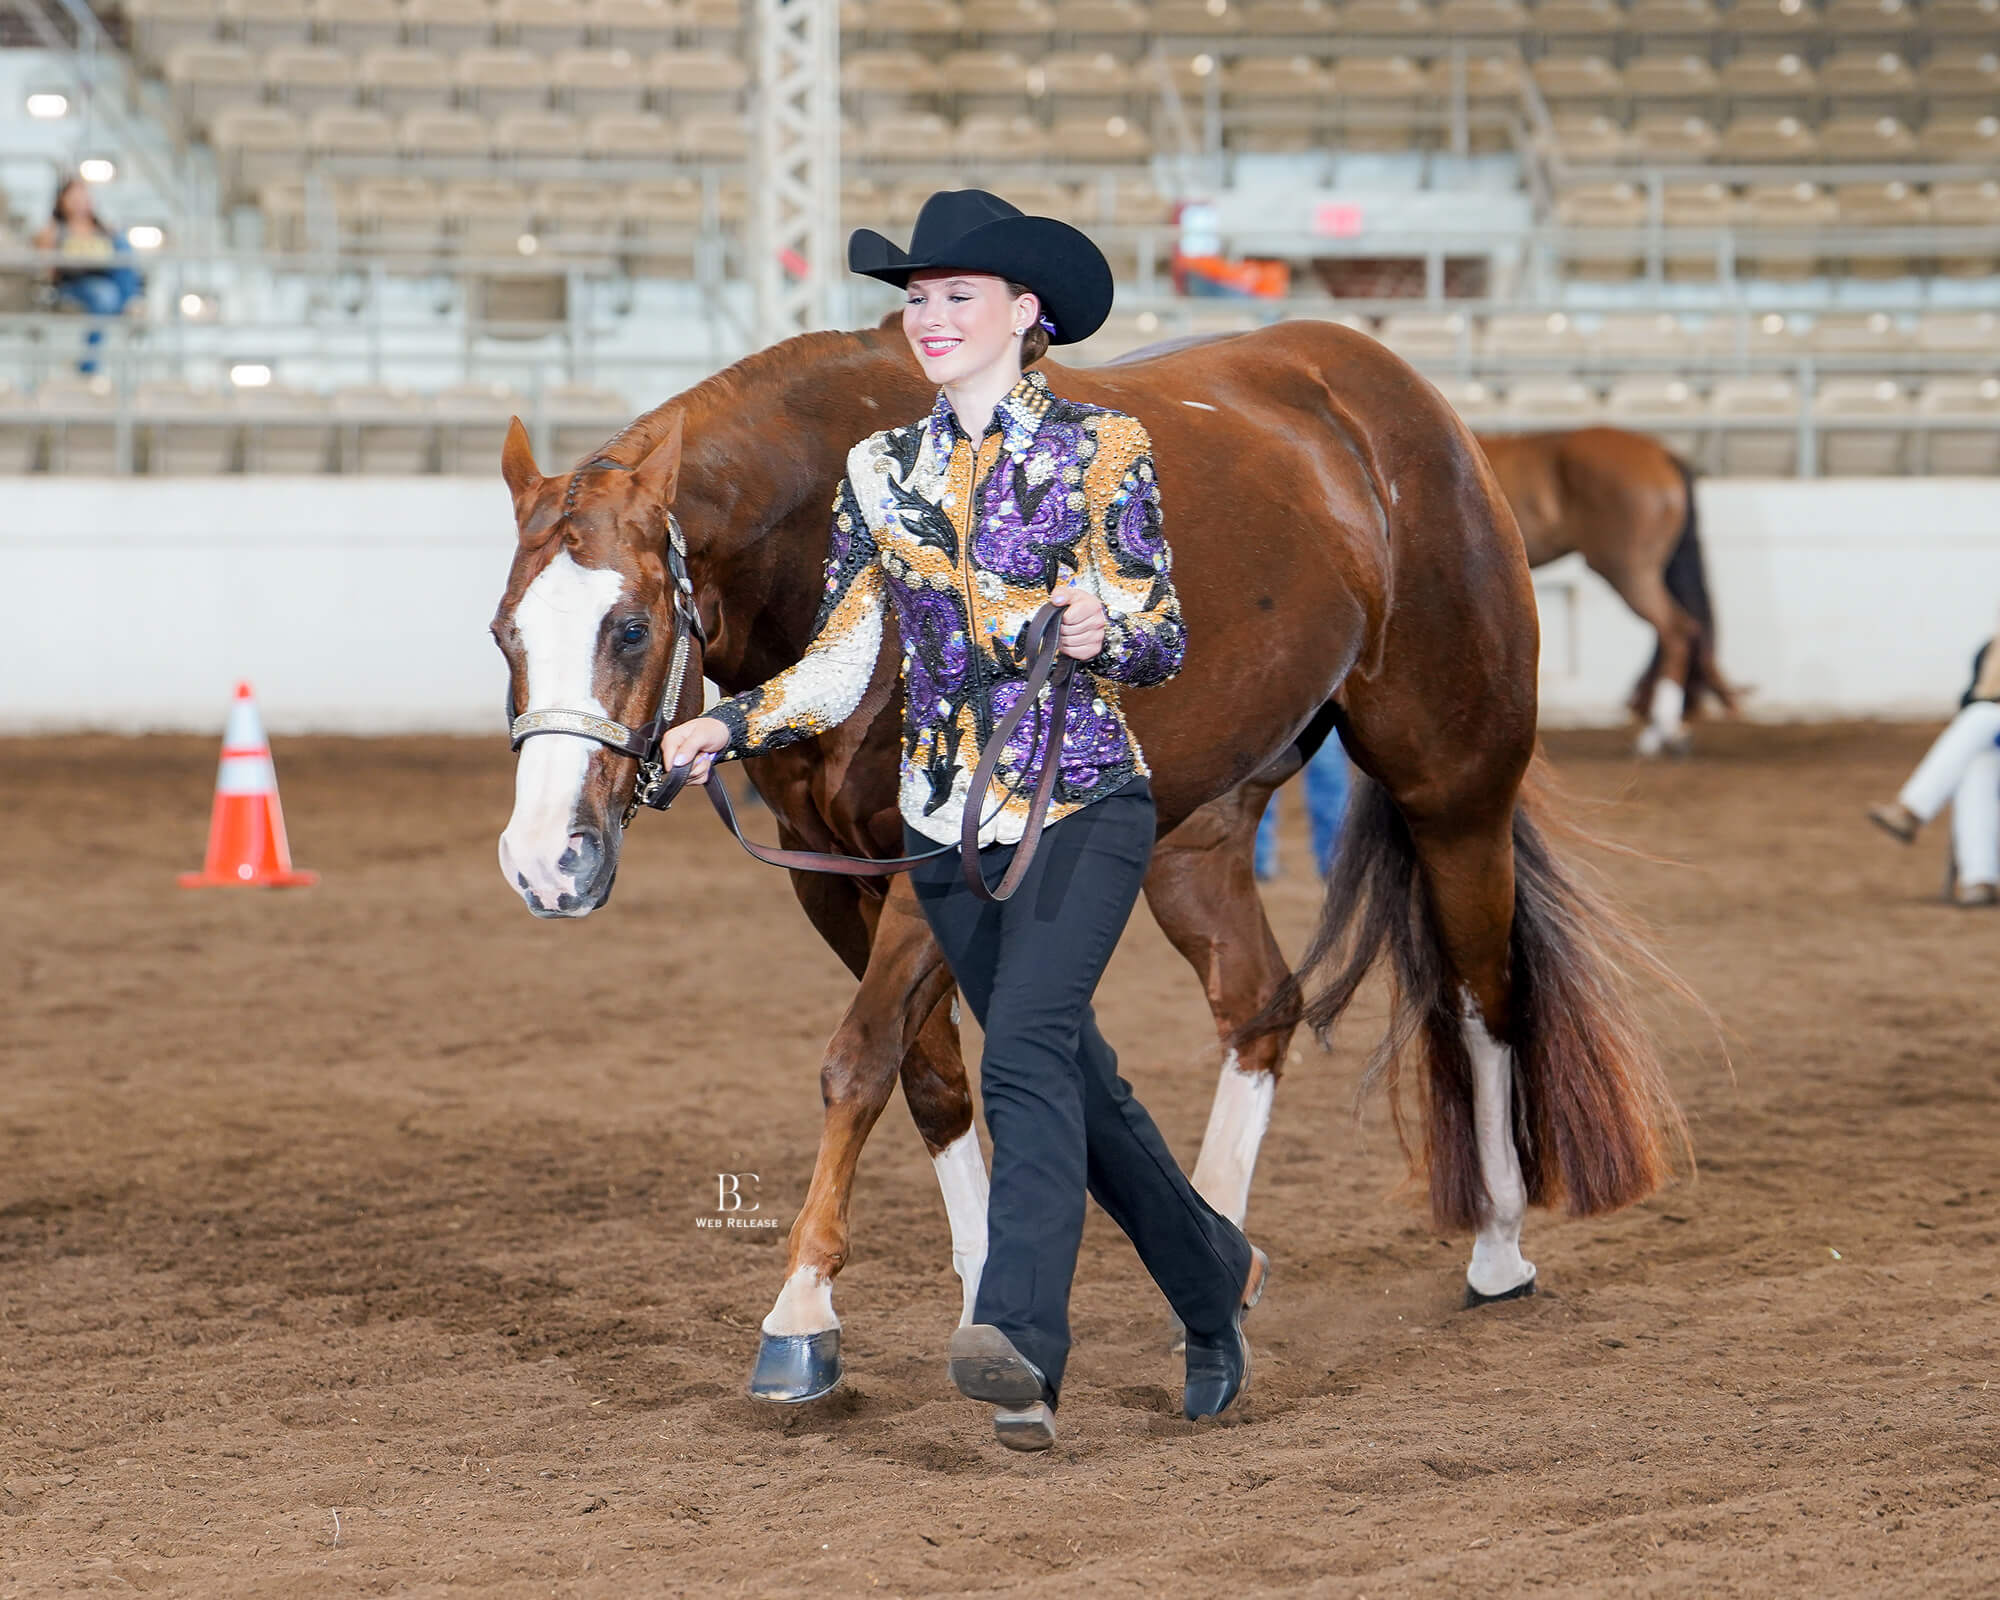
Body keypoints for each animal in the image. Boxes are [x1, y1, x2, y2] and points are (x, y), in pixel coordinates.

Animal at [490, 320, 1686, 1404]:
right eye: (506, 634)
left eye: (631, 627)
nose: (547, 864)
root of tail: (1409, 407)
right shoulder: (828, 877)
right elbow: (928, 1078)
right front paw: (977, 1293)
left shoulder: (933, 861)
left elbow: (859, 1061)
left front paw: (800, 1315)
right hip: (1198, 837)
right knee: (1260, 1005)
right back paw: (1220, 1259)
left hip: (1454, 787)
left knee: (1485, 994)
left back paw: (1496, 1247)